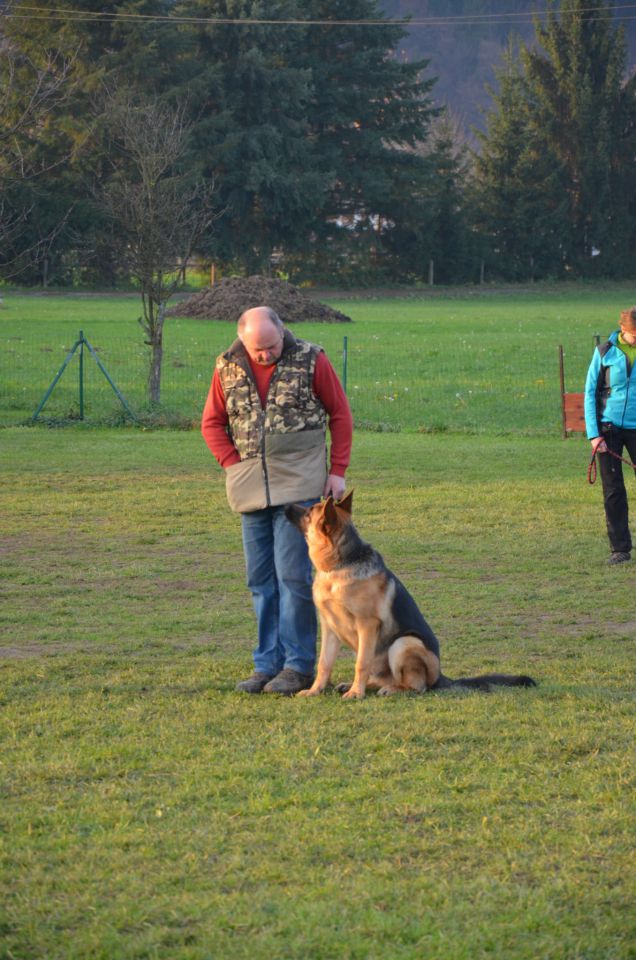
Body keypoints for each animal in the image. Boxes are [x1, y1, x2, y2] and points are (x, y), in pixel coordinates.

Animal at [286, 492, 536, 700]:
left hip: (404, 643)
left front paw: (357, 693)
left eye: (309, 512)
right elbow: (324, 663)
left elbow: (361, 663)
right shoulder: (329, 628)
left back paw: (390, 689)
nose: (284, 506)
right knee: (379, 678)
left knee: (417, 687)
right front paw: (315, 690)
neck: (341, 564)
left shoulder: (367, 626)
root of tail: (440, 677)